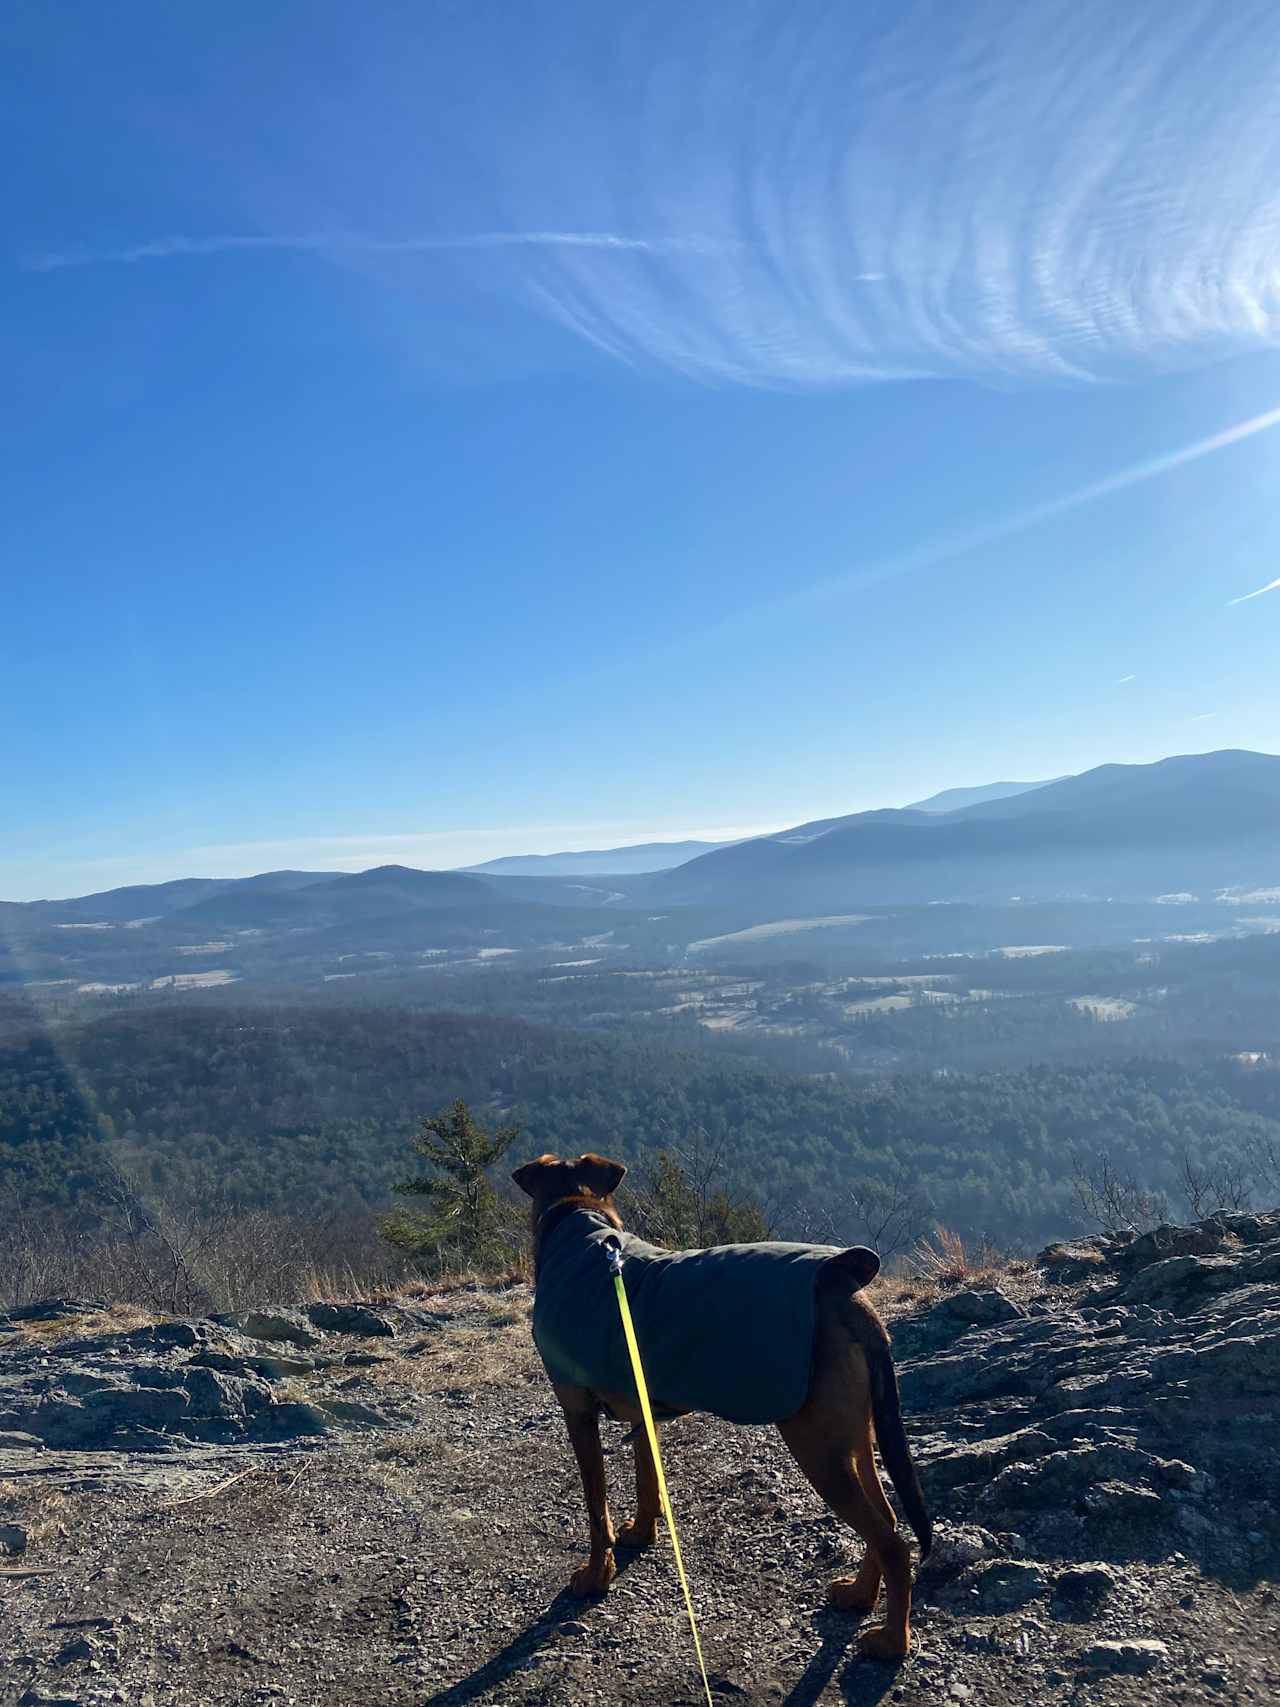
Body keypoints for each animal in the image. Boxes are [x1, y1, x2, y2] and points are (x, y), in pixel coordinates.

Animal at [512, 1147, 935, 1652]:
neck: (577, 1224)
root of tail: (846, 1295)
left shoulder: (578, 1414)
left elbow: (597, 1512)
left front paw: (597, 1576)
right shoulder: (642, 1410)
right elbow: (646, 1478)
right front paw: (642, 1532)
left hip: (819, 1447)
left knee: (892, 1541)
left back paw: (892, 1641)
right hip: (853, 1438)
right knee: (887, 1520)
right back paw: (859, 1594)